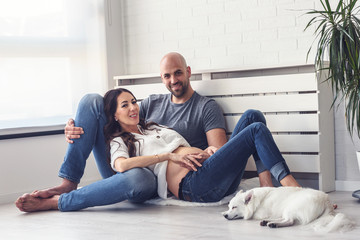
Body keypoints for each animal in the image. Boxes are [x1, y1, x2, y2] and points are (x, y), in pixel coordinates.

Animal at [222, 187, 354, 232]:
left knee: (290, 221)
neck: (255, 200)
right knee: (286, 218)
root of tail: (326, 200)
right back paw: (269, 222)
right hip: (287, 209)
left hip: (290, 207)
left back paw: (273, 224)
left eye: (234, 207)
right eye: (229, 207)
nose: (224, 215)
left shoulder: (259, 214)